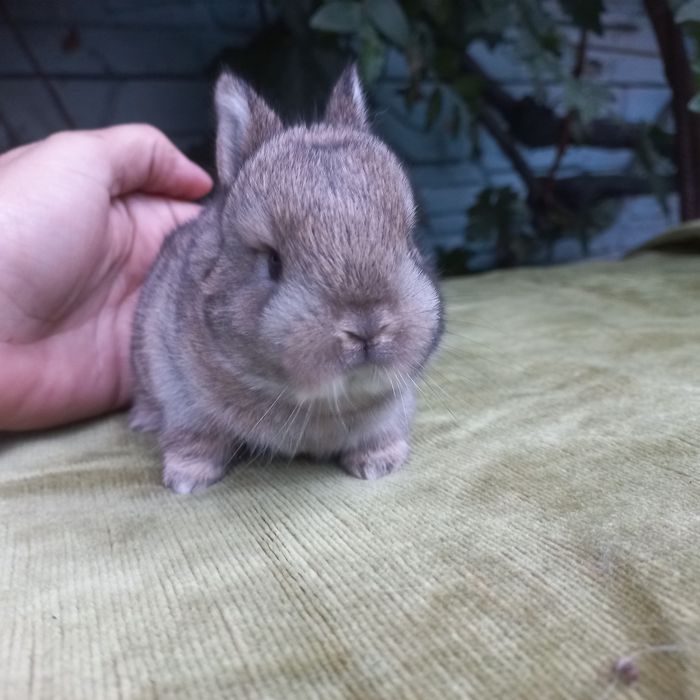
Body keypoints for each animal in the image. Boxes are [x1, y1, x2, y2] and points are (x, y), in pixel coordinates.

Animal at [130, 65, 444, 494]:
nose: (367, 329)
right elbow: (195, 439)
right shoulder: (182, 397)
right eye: (273, 262)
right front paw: (187, 481)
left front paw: (378, 464)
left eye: (409, 240)